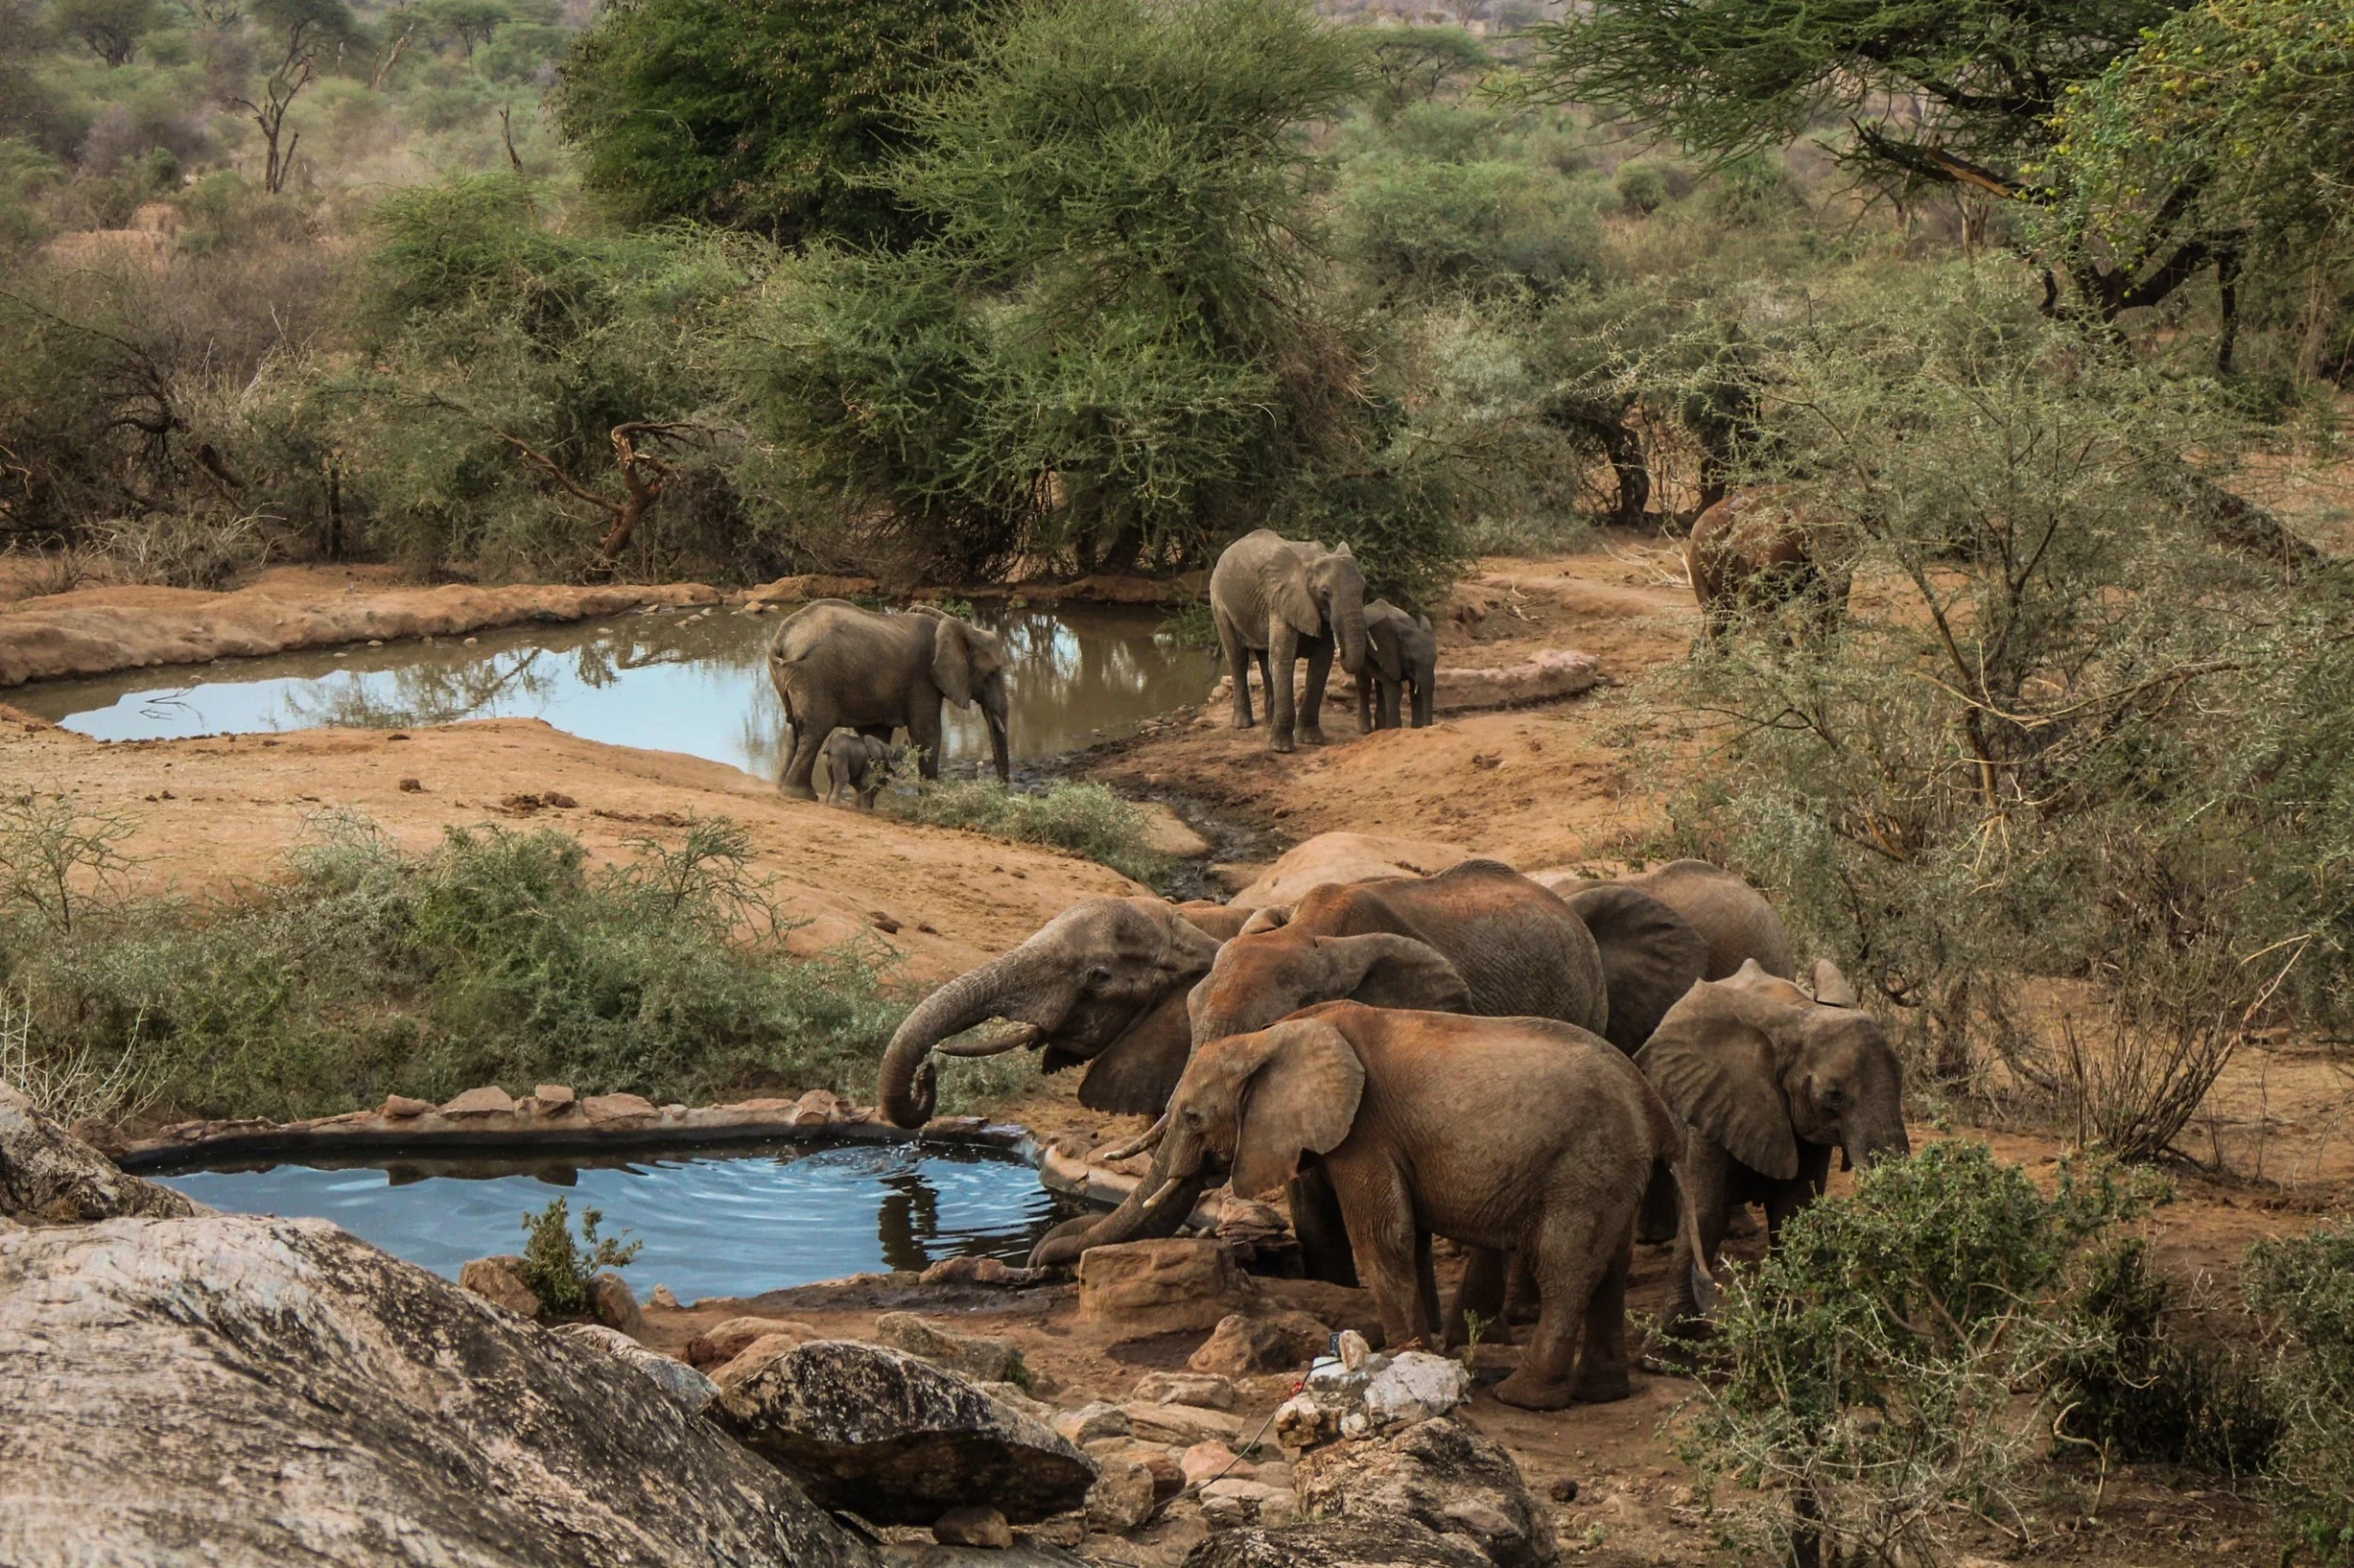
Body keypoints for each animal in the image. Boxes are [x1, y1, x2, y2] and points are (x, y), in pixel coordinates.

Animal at [767, 601, 1010, 800]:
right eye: (992, 674)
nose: (1002, 791)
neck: (962, 628)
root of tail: (782, 639)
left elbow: (877, 734)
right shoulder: (923, 679)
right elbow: (927, 734)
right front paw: (932, 800)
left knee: (795, 731)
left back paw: (781, 788)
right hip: (815, 676)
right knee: (815, 730)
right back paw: (801, 795)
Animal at [1082, 1001, 1702, 1409]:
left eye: (1191, 1117)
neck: (1274, 1035)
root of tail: (1656, 1108)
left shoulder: (1365, 1128)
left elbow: (1385, 1235)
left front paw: (1404, 1357)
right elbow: (1412, 1236)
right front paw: (1423, 1352)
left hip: (1586, 1161)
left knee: (1566, 1269)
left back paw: (1522, 1397)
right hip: (1613, 1168)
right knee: (1610, 1269)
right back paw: (1600, 1393)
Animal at [1209, 530, 1370, 753]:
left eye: (1364, 590)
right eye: (1325, 593)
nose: (1343, 647)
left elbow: (1321, 663)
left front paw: (1310, 740)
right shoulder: (1283, 601)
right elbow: (1283, 660)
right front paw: (1281, 749)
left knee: (1264, 658)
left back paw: (1269, 722)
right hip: (1219, 600)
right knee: (1238, 656)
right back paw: (1243, 725)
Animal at [1358, 599, 1436, 731]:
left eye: (1436, 661)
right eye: (1411, 660)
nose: (1428, 726)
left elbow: (1415, 691)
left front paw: (1416, 728)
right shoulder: (1388, 654)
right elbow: (1395, 690)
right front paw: (1395, 730)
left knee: (1380, 686)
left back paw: (1381, 728)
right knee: (1364, 684)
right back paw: (1366, 730)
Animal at [1637, 958, 1909, 1328]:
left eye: (1902, 1080)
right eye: (1834, 1096)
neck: (1802, 1016)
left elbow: (1792, 1213)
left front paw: (1787, 1327)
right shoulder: (1714, 1098)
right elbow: (1707, 1213)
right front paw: (1670, 1342)